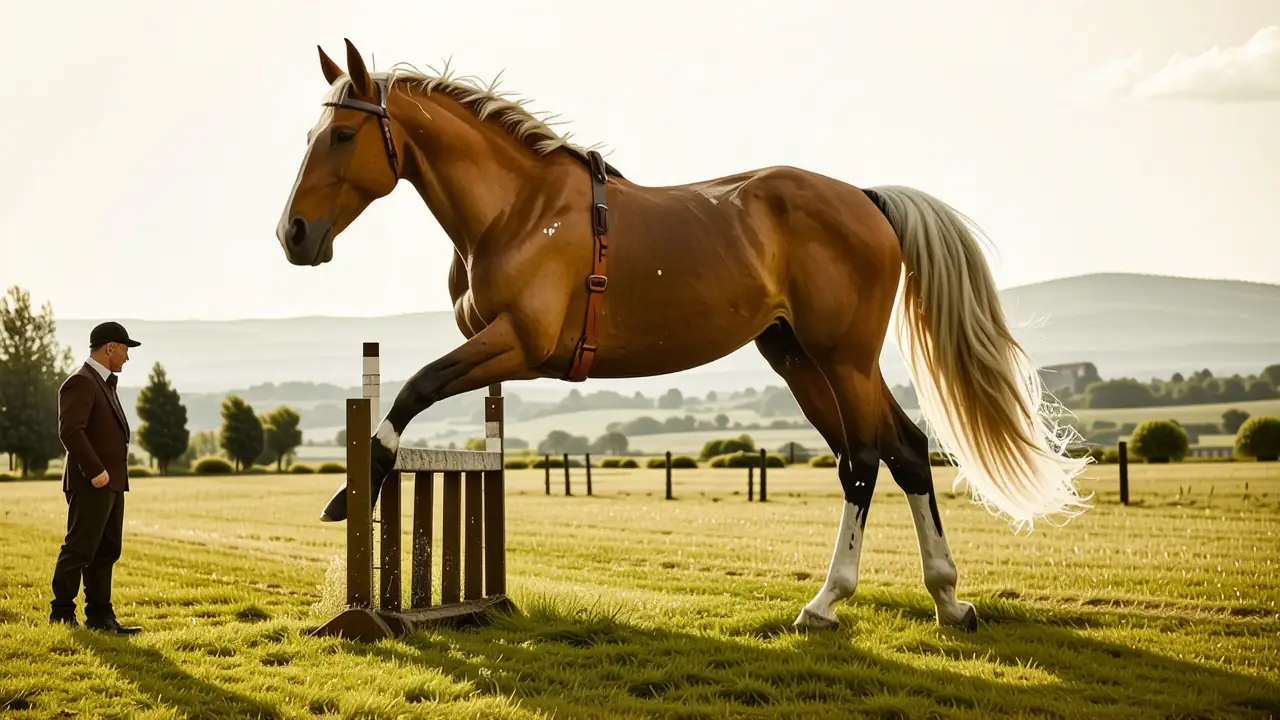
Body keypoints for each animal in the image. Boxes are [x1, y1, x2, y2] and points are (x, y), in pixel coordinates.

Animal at [275, 39, 1092, 631]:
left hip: (843, 358)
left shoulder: (520, 348)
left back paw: (829, 602)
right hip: (799, 358)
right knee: (901, 450)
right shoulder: (498, 354)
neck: (518, 209)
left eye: (342, 135)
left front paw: (349, 494)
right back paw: (947, 599)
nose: (294, 234)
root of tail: (865, 198)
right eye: (312, 132)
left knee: (866, 457)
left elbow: (411, 391)